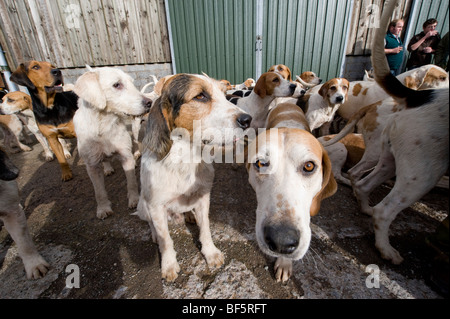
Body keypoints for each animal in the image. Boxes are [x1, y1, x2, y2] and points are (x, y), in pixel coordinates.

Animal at [135, 73, 251, 282]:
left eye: (224, 93)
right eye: (200, 96)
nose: (248, 120)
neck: (185, 159)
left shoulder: (204, 197)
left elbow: (205, 229)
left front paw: (210, 253)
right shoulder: (155, 206)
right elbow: (166, 240)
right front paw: (169, 264)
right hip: (142, 206)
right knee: (151, 224)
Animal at [350, 0, 448, 264]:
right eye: (442, 76)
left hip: (390, 159)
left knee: (363, 183)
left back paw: (365, 207)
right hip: (421, 174)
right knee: (381, 206)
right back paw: (386, 249)